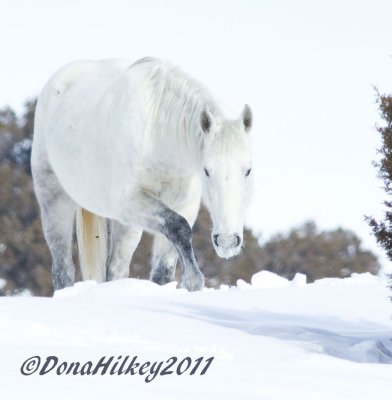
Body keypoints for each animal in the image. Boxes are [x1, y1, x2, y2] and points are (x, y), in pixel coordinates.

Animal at [29, 57, 251, 290]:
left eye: (248, 170)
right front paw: (194, 280)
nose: (227, 241)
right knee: (63, 269)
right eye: (206, 171)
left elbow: (165, 266)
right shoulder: (132, 202)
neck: (159, 134)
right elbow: (179, 227)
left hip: (127, 225)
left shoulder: (184, 206)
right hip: (55, 202)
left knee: (115, 269)